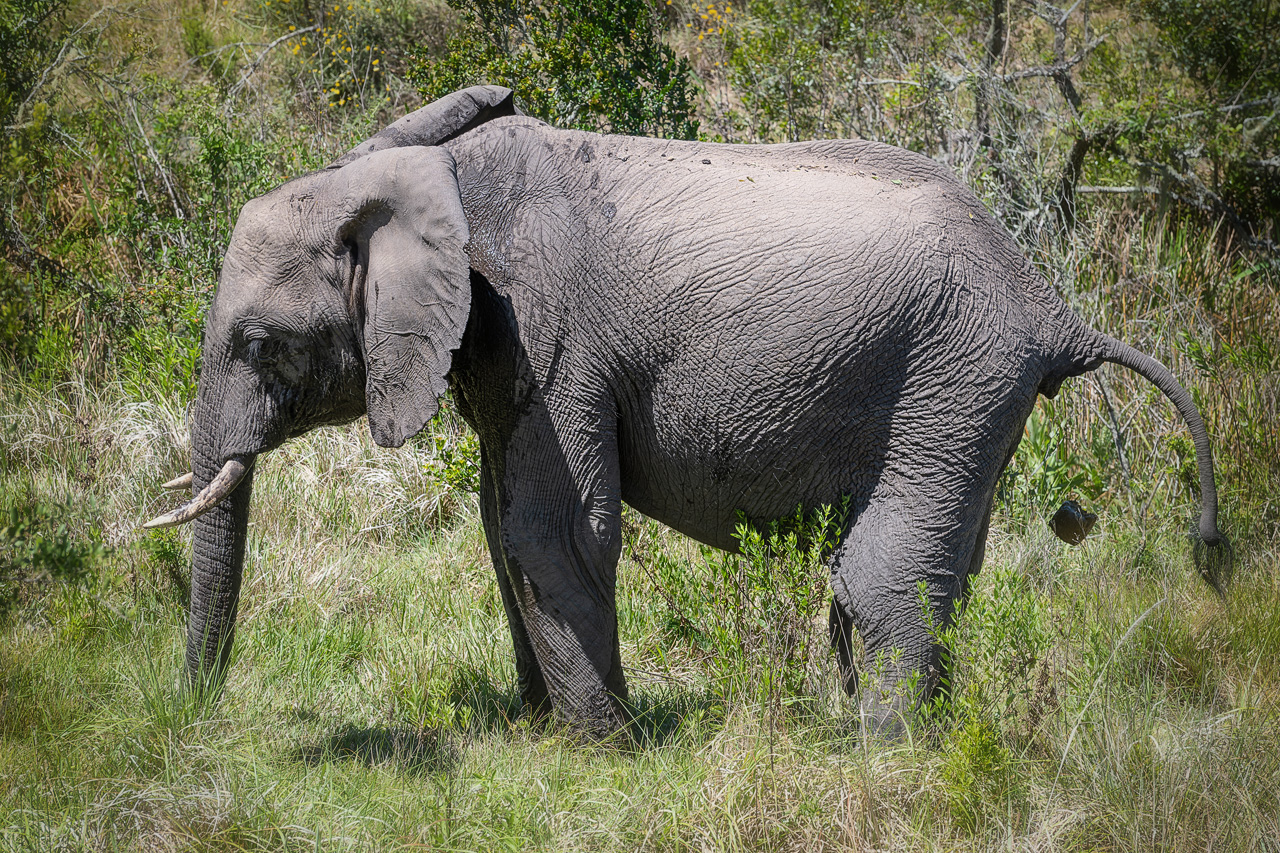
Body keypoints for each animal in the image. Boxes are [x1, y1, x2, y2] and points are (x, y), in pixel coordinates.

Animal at [145, 85, 1230, 738]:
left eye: (259, 343)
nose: (193, 715)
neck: (420, 176)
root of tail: (1052, 308)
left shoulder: (549, 333)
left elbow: (555, 531)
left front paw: (604, 752)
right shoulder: (498, 352)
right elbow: (501, 530)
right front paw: (539, 729)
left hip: (954, 375)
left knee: (882, 574)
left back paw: (879, 754)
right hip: (971, 399)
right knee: (942, 567)